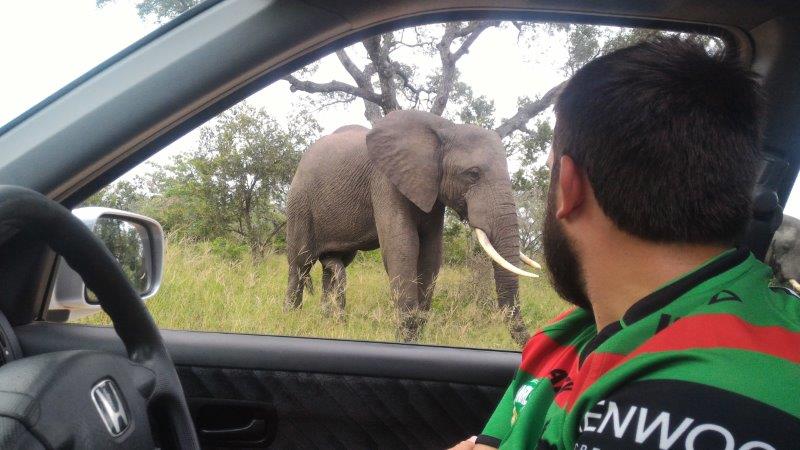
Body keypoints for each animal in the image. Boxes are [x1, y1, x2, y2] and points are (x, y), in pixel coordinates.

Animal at [284, 109, 540, 344]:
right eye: (473, 174)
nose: (528, 341)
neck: (444, 129)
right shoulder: (385, 180)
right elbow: (402, 246)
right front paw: (406, 338)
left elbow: (431, 252)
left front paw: (416, 335)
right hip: (300, 201)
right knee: (300, 262)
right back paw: (292, 318)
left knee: (335, 263)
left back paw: (331, 322)